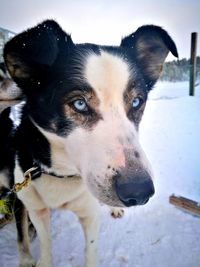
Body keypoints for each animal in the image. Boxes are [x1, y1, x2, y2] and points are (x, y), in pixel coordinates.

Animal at [0, 19, 178, 266]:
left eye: (136, 101)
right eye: (79, 104)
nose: (139, 191)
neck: (62, 174)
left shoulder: (89, 214)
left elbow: (90, 249)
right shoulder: (35, 210)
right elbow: (45, 244)